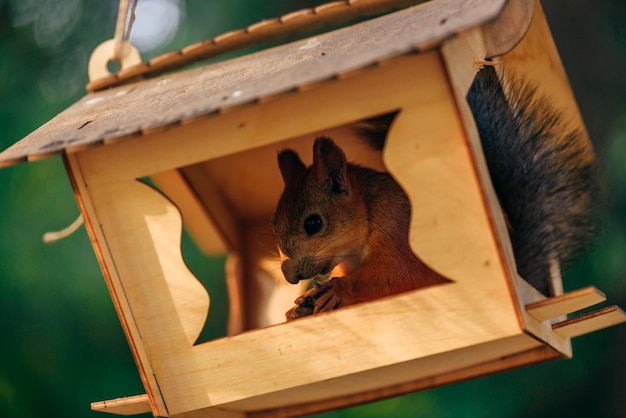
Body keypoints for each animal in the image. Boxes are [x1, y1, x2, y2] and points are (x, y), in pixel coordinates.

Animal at [270, 66, 596, 320]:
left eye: (314, 223)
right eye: (274, 225)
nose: (289, 276)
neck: (368, 211)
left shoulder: (397, 228)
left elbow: (397, 272)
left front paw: (337, 289)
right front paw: (297, 308)